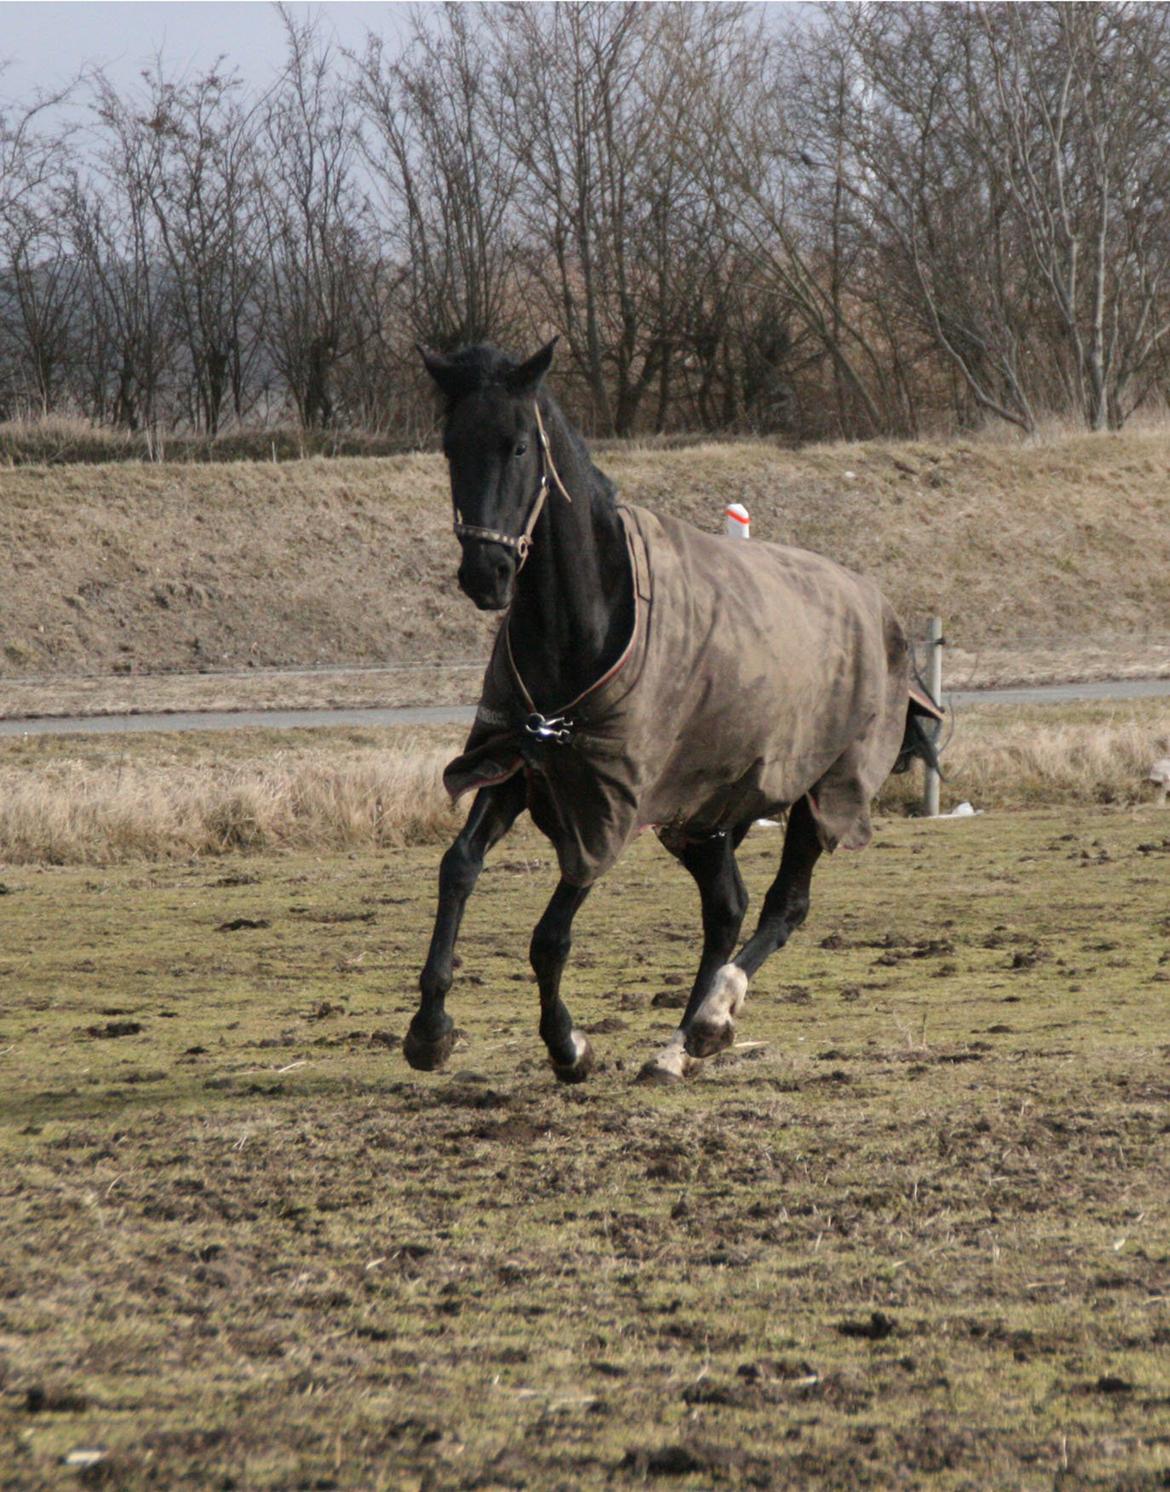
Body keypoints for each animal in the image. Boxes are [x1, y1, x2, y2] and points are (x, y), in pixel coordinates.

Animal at [405, 338, 937, 1086]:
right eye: (453, 446)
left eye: (517, 446)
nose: (487, 575)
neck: (588, 623)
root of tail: (880, 610)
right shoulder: (516, 763)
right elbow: (457, 868)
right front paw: (429, 1029)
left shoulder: (610, 804)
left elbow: (550, 935)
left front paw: (568, 1045)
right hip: (709, 809)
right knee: (727, 908)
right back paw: (677, 1044)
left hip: (819, 790)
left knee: (783, 906)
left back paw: (709, 1020)